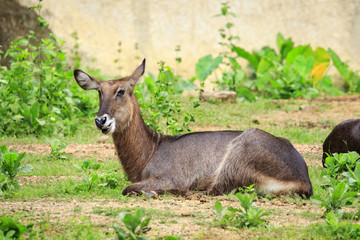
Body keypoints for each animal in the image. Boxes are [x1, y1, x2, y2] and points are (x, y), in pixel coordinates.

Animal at [74, 59, 314, 198]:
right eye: (99, 92)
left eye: (121, 91)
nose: (101, 120)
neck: (151, 149)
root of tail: (304, 179)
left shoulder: (169, 177)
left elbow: (127, 188)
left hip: (241, 150)